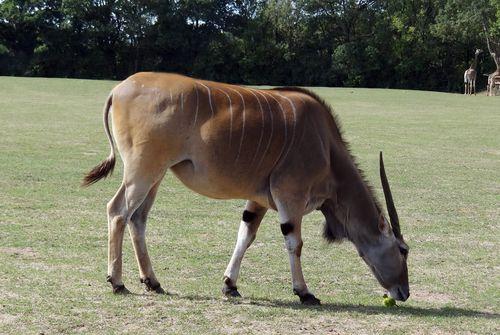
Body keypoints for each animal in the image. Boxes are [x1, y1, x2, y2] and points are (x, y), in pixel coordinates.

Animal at [82, 73, 410, 304]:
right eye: (403, 250)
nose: (404, 292)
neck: (325, 145)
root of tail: (119, 89)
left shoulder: (259, 200)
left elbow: (245, 236)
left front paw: (230, 285)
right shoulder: (290, 196)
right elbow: (294, 243)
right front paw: (304, 292)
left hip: (156, 176)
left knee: (137, 219)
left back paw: (153, 282)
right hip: (142, 172)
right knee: (117, 211)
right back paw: (117, 282)